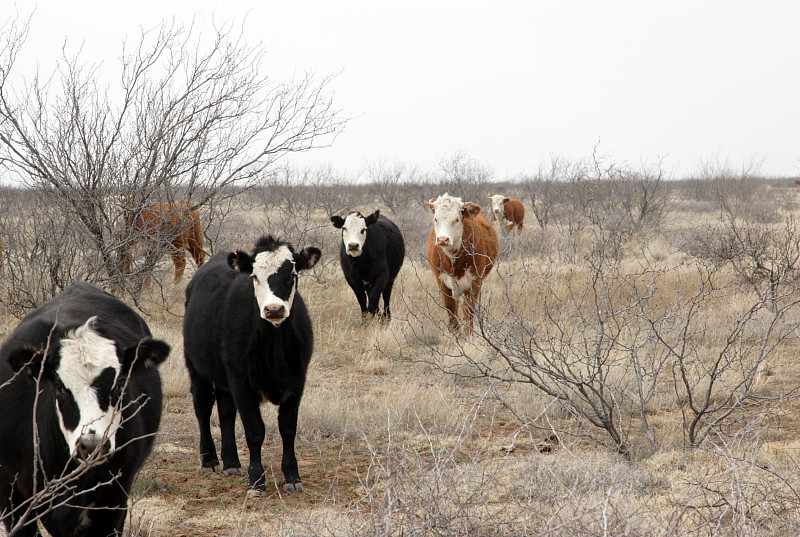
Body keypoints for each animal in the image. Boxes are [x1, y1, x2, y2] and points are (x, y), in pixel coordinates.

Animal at [183, 232, 320, 492]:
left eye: (292, 276)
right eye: (255, 276)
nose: (274, 309)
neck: (274, 348)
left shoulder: (297, 381)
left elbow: (288, 428)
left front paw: (292, 476)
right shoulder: (241, 382)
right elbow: (255, 430)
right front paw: (256, 480)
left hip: (224, 380)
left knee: (226, 413)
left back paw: (231, 462)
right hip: (197, 369)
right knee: (203, 408)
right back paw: (210, 460)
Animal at [428, 193, 496, 330]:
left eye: (456, 219)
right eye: (436, 219)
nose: (442, 239)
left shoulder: (474, 282)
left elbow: (468, 312)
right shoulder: (442, 282)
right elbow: (451, 310)